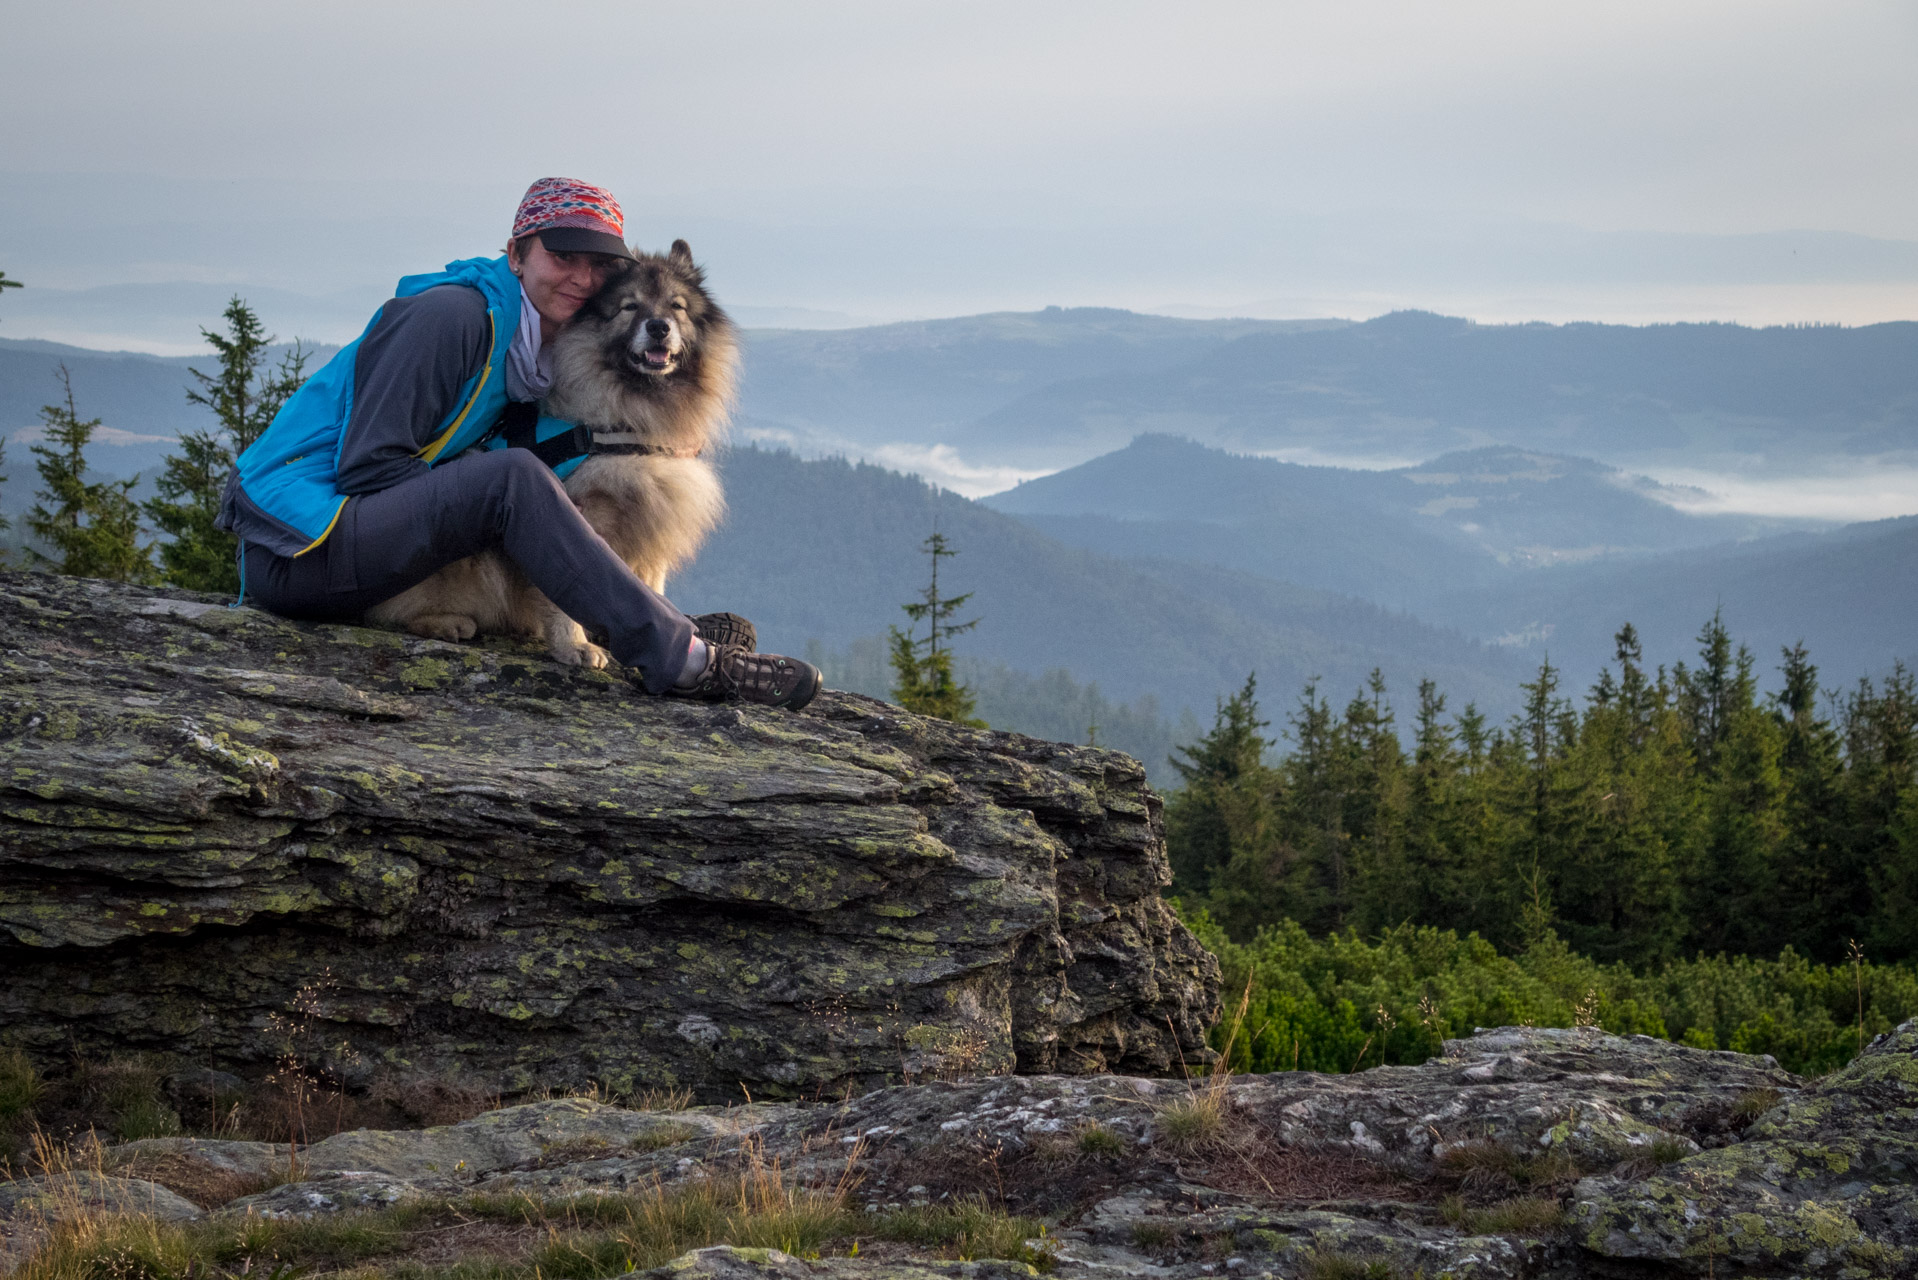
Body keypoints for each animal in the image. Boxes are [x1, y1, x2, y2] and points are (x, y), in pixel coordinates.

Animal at [364, 242, 732, 671]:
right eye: (629, 307)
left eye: (677, 307)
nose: (658, 326)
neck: (632, 420)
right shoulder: (582, 518)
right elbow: (570, 586)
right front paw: (575, 645)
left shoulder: (652, 523)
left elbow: (647, 589)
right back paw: (446, 622)